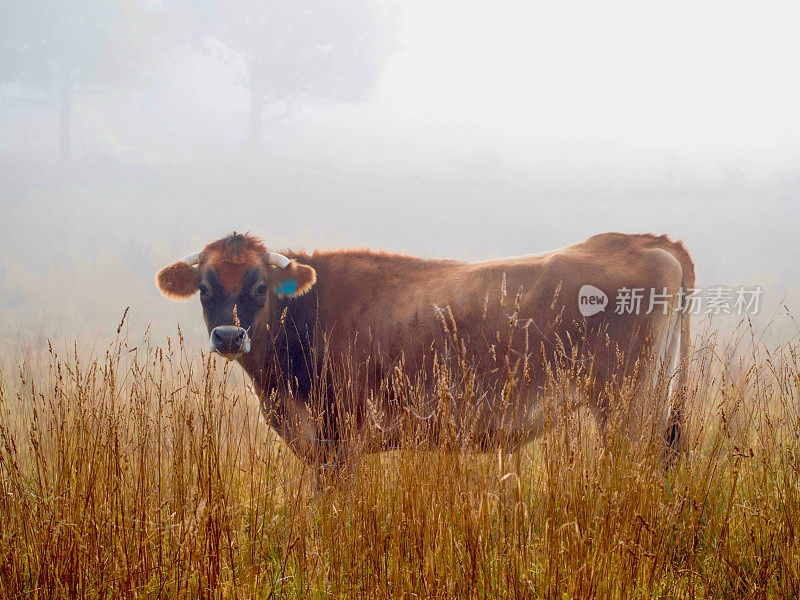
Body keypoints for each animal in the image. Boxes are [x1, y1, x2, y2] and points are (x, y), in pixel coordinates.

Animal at [156, 234, 692, 474]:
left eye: (260, 286)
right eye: (205, 288)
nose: (228, 336)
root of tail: (641, 241)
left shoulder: (336, 439)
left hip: (627, 404)